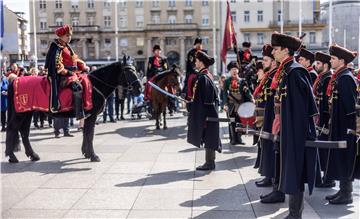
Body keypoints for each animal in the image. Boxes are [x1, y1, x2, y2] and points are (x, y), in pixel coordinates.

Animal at [5, 55, 141, 163]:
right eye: (128, 71)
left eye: (134, 69)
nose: (139, 88)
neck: (95, 85)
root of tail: (15, 80)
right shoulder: (92, 116)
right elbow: (90, 134)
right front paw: (93, 155)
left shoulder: (87, 116)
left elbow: (86, 133)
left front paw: (86, 153)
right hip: (20, 114)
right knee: (11, 129)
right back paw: (12, 156)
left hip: (27, 113)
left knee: (24, 132)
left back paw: (32, 155)